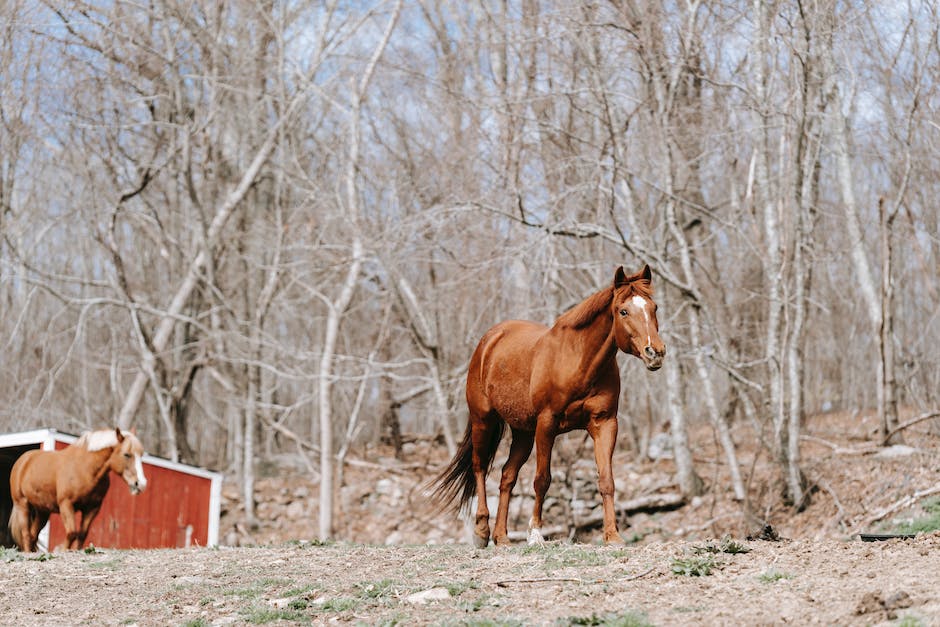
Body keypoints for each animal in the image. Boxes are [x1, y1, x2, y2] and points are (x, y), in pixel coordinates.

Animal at [8, 430, 147, 552]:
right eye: (127, 454)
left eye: (140, 455)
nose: (141, 483)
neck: (86, 469)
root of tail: (23, 460)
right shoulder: (66, 504)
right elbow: (72, 532)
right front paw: (62, 549)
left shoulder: (92, 508)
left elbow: (82, 534)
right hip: (22, 504)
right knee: (26, 534)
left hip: (43, 511)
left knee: (33, 534)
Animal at [430, 262, 664, 548]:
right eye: (624, 311)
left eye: (654, 308)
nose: (655, 352)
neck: (578, 362)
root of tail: (489, 340)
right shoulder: (547, 423)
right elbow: (542, 479)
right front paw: (535, 533)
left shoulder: (605, 423)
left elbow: (606, 479)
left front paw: (612, 536)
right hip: (483, 420)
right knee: (480, 467)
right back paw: (482, 531)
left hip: (523, 432)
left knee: (507, 476)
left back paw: (502, 537)